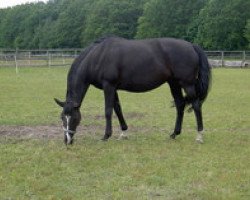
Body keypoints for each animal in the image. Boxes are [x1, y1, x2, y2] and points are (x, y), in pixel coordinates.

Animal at [54, 36, 211, 145]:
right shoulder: (113, 88)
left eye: (74, 118)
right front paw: (123, 133)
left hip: (187, 84)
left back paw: (199, 136)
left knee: (196, 105)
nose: (67, 141)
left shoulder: (108, 86)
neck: (97, 57)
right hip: (174, 83)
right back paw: (174, 134)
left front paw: (106, 136)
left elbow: (108, 111)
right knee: (180, 105)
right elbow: (118, 109)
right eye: (62, 117)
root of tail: (191, 45)